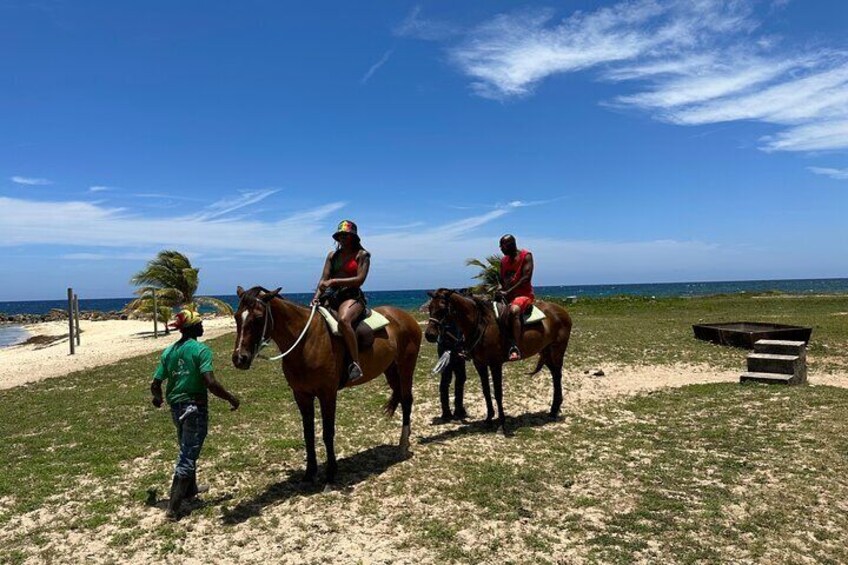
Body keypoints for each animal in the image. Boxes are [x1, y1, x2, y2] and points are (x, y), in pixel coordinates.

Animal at [232, 284, 420, 482]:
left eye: (259, 318)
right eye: (236, 316)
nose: (239, 358)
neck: (306, 342)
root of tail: (404, 316)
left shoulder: (327, 394)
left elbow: (328, 432)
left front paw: (331, 471)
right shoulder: (301, 395)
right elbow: (308, 433)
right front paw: (310, 471)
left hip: (406, 366)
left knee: (407, 400)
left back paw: (402, 444)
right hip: (391, 370)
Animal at [428, 288, 572, 430]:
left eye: (442, 308)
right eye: (429, 308)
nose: (429, 335)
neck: (481, 324)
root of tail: (562, 311)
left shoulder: (495, 364)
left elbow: (498, 392)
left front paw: (501, 422)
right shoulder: (480, 364)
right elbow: (486, 391)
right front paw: (489, 418)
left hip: (557, 350)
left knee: (557, 375)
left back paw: (554, 410)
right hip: (546, 351)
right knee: (554, 374)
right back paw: (554, 408)